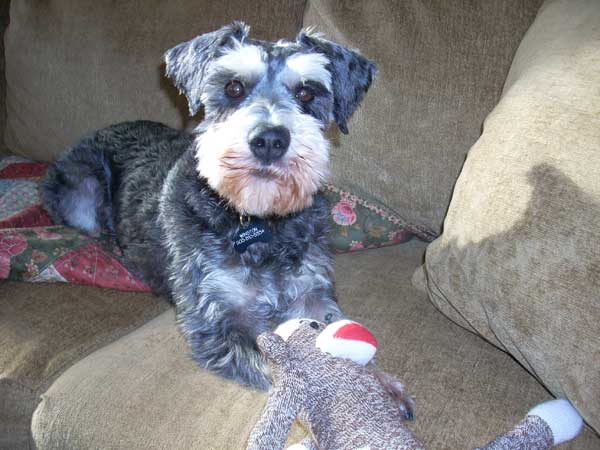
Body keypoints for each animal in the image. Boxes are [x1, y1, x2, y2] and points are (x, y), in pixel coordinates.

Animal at [43, 21, 376, 388]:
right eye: (233, 87)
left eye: (306, 93)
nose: (269, 140)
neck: (259, 220)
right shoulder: (218, 315)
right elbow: (281, 369)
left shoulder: (312, 292)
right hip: (81, 193)